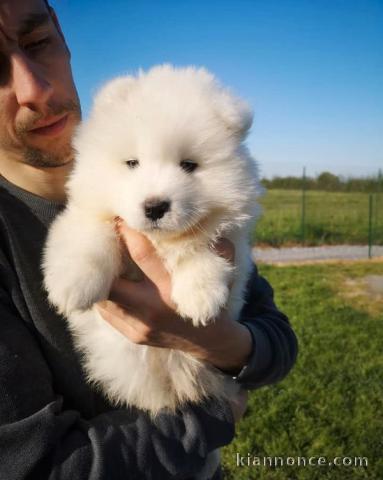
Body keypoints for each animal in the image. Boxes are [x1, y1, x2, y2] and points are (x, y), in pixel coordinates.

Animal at [43, 63, 262, 416]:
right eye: (132, 163)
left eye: (189, 165)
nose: (155, 206)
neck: (158, 242)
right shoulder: (88, 212)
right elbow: (91, 236)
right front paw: (74, 285)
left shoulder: (232, 242)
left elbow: (200, 244)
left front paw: (200, 296)